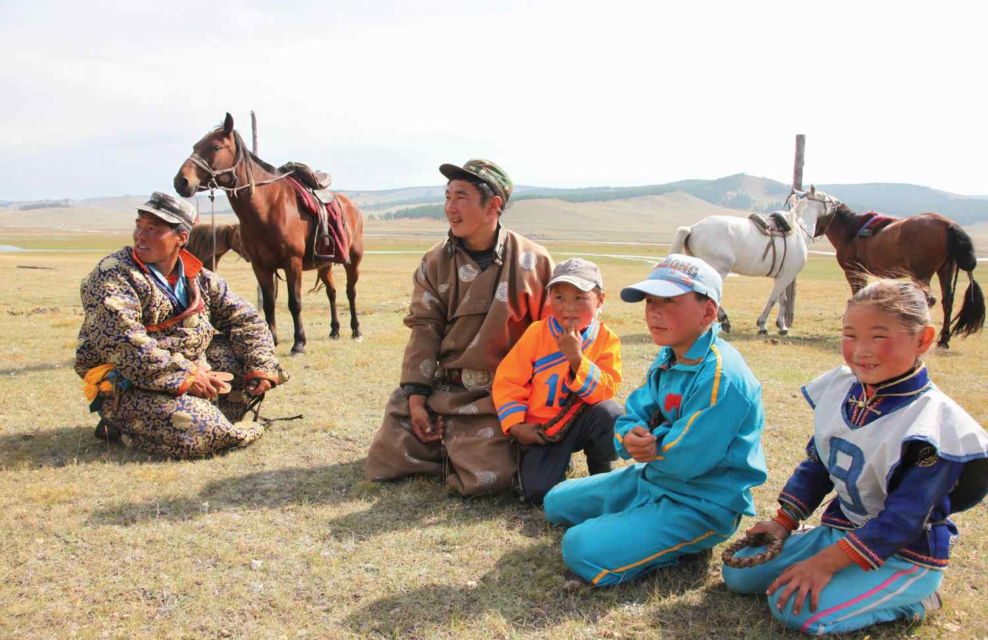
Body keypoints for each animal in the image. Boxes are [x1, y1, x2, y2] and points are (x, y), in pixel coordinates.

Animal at [174, 113, 364, 355]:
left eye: (216, 147)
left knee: (350, 291)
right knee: (332, 292)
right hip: (325, 264)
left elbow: (295, 302)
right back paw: (335, 330)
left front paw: (299, 343)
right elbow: (269, 303)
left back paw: (356, 330)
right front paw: (272, 340)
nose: (181, 181)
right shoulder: (261, 266)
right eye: (195, 146)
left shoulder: (292, 263)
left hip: (353, 260)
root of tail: (353, 206)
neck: (268, 207)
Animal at [669, 193, 835, 335]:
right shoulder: (787, 276)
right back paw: (725, 321)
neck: (798, 229)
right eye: (827, 199)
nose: (838, 202)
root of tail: (694, 228)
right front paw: (762, 325)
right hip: (718, 271)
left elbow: (782, 300)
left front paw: (782, 326)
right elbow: (773, 300)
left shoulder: (783, 275)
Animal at [791, 186, 984, 348]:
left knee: (929, 299)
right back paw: (944, 340)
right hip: (945, 269)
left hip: (921, 273)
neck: (850, 230)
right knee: (947, 302)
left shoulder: (853, 270)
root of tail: (948, 224)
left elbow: (857, 295)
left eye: (803, 206)